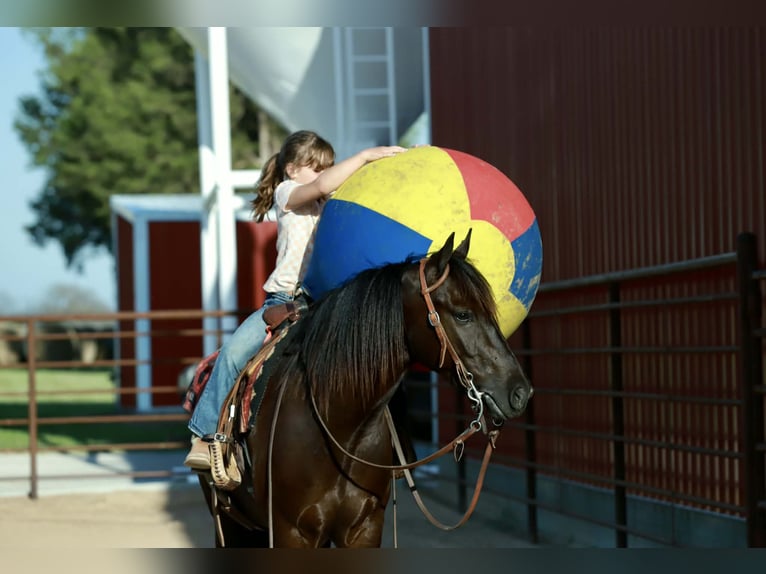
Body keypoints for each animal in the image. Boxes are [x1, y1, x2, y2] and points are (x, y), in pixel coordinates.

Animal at [196, 230, 533, 548]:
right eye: (463, 314)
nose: (520, 392)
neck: (338, 424)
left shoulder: (364, 529)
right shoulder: (290, 533)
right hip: (229, 524)